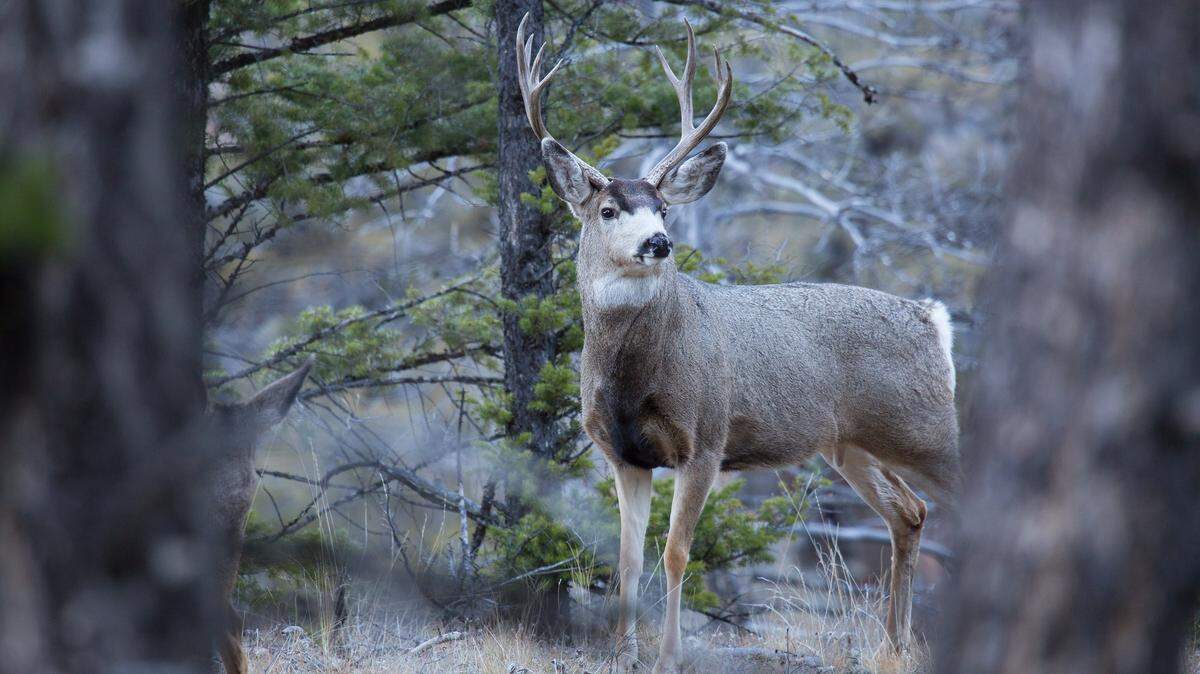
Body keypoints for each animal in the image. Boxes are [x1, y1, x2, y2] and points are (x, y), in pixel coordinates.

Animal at [515, 15, 960, 673]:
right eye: (608, 209)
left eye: (663, 208)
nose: (658, 243)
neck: (633, 378)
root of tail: (934, 320)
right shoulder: (622, 453)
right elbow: (626, 558)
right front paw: (623, 653)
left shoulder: (705, 437)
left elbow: (676, 552)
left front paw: (669, 656)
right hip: (851, 444)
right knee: (910, 513)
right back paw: (893, 646)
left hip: (927, 430)